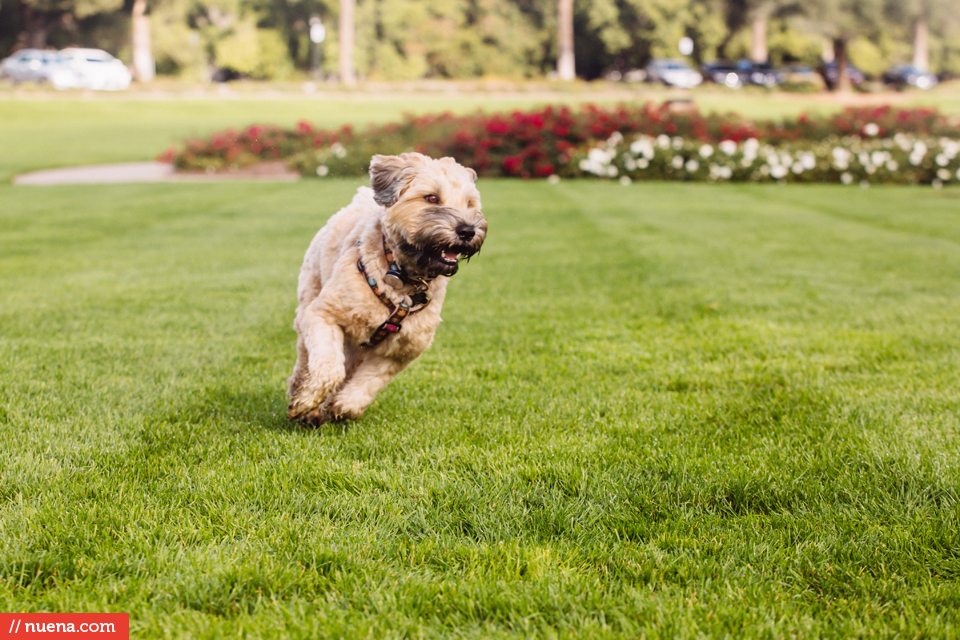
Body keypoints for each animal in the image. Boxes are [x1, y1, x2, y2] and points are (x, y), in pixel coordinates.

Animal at [282, 152, 484, 424]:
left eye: (470, 204)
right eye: (432, 198)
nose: (467, 230)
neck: (402, 279)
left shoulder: (398, 352)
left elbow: (368, 383)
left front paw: (342, 405)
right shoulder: (323, 315)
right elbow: (328, 367)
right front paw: (307, 400)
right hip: (309, 300)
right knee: (306, 357)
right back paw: (304, 399)